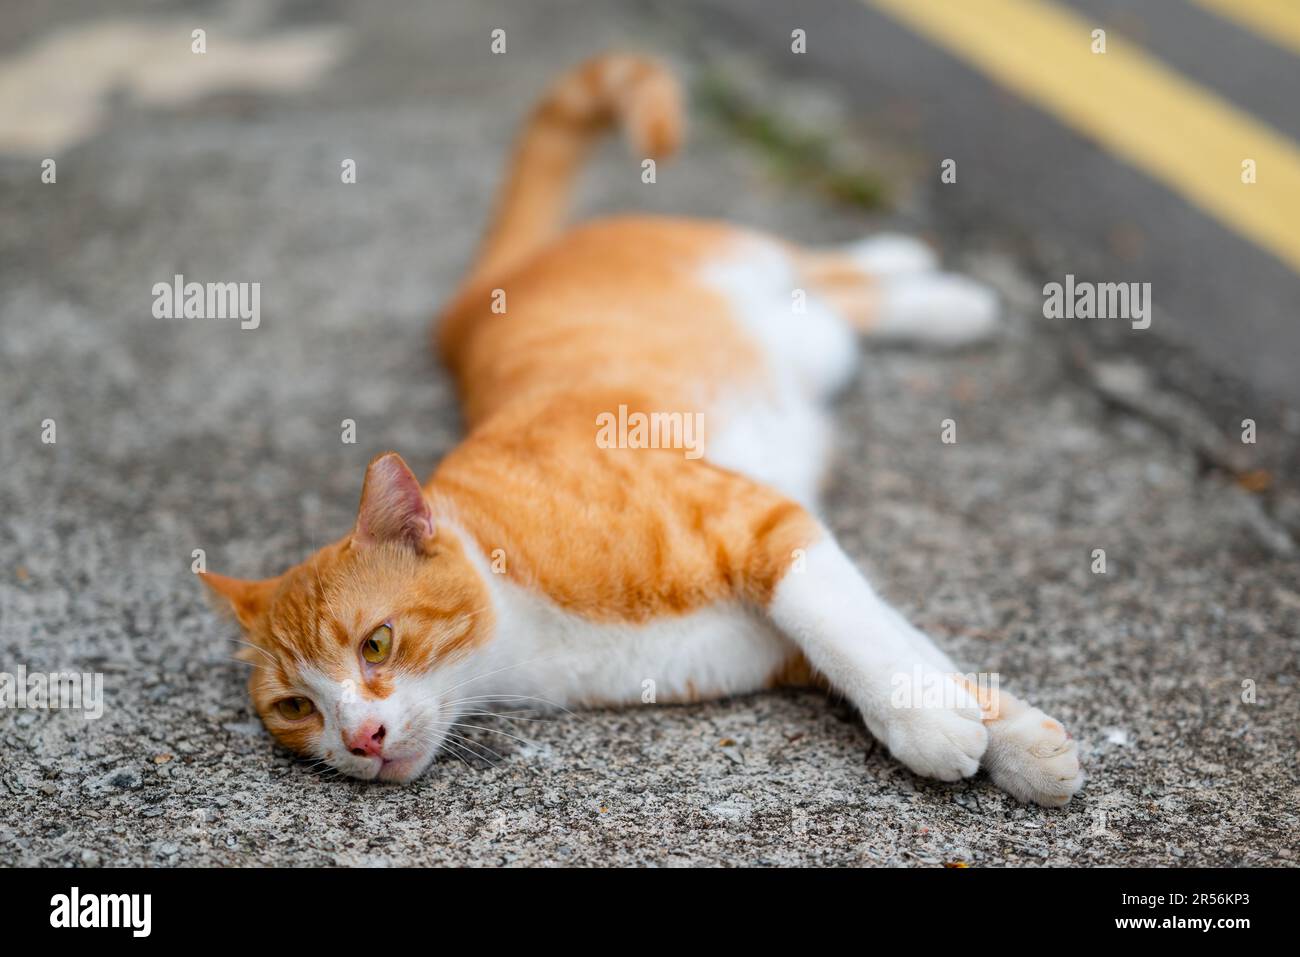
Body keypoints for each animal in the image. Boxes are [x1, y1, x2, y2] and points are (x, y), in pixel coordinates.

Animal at [205, 54, 1086, 806]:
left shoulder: (767, 524)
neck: (521, 632)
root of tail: (476, 295)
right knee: (840, 298)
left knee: (824, 270)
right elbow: (904, 646)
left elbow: (853, 633)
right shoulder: (777, 634)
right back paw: (923, 280)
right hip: (812, 341)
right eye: (296, 707)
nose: (359, 737)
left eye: (376, 644)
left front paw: (938, 726)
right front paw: (1004, 734)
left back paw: (936, 286)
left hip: (759, 287)